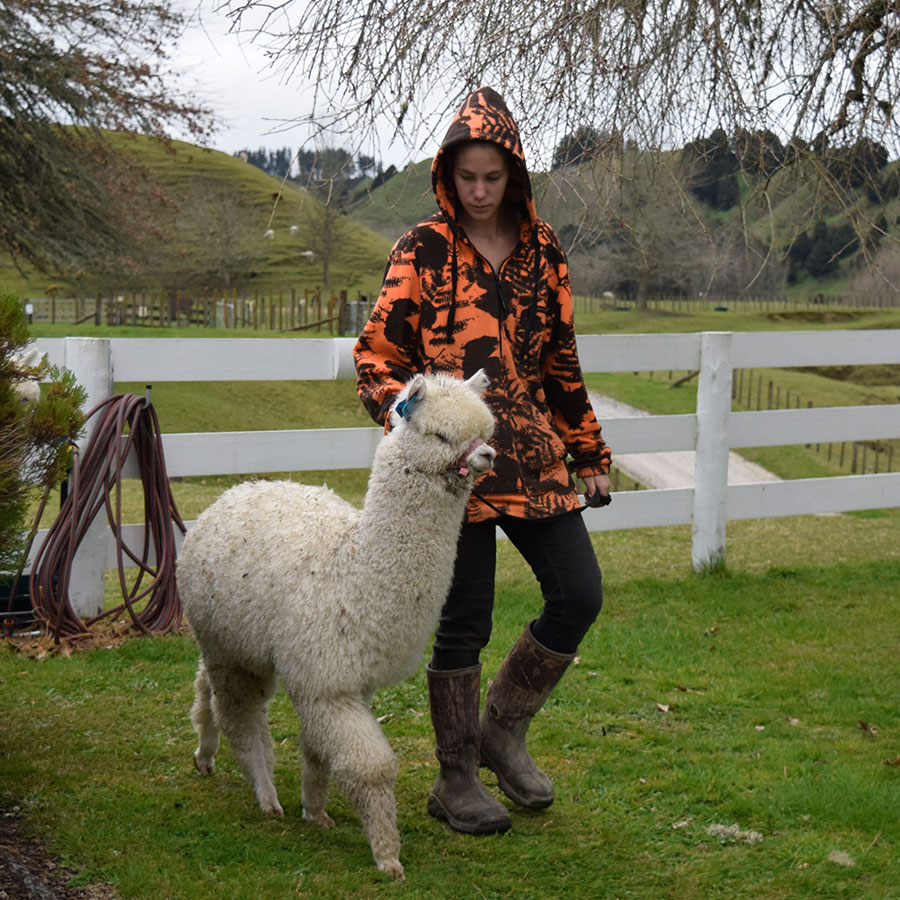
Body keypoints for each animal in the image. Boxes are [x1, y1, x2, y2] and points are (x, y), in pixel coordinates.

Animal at [177, 370, 496, 880]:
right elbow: (370, 767)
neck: (351, 571)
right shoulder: (328, 682)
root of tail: (233, 492)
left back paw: (205, 755)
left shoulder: (347, 681)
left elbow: (316, 749)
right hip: (229, 645)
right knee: (241, 717)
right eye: (440, 435)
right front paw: (387, 856)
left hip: (234, 641)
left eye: (485, 432)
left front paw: (316, 810)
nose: (487, 456)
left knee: (206, 683)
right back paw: (266, 796)